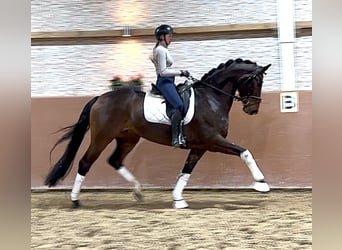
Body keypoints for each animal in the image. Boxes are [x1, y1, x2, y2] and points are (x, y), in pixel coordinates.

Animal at [45, 58, 272, 209]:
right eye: (255, 82)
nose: (253, 109)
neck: (211, 99)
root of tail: (100, 98)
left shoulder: (201, 146)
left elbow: (186, 171)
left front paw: (178, 199)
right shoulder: (213, 141)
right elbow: (244, 152)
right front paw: (261, 184)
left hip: (128, 138)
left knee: (115, 160)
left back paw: (138, 192)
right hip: (102, 137)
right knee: (85, 162)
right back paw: (75, 200)